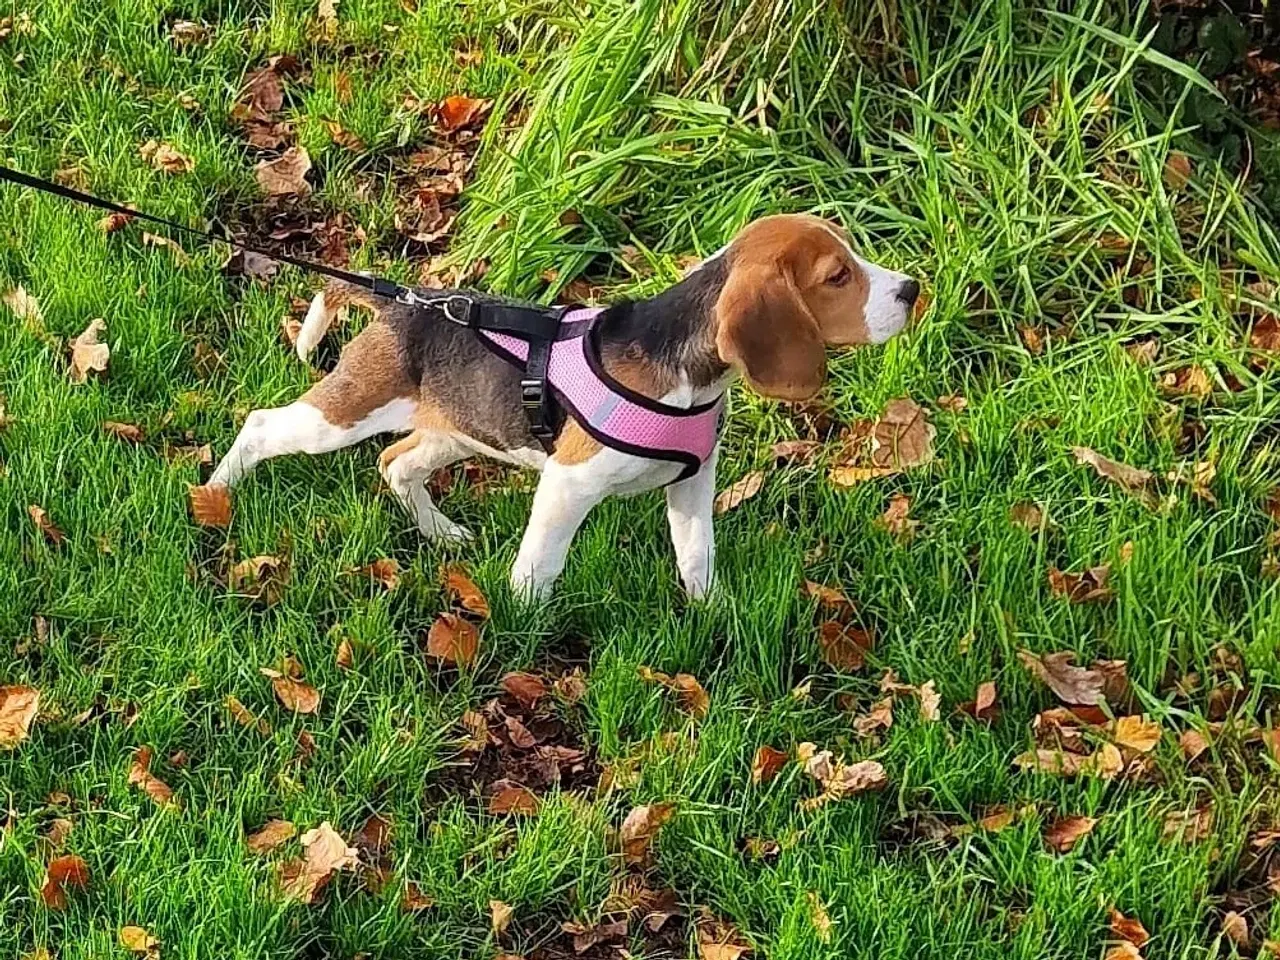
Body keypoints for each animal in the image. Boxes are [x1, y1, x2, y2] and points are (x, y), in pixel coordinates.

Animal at [207, 213, 921, 599]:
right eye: (837, 277)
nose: (914, 288)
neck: (687, 374)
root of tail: (401, 302)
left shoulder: (693, 486)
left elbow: (696, 555)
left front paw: (712, 608)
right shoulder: (569, 483)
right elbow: (541, 564)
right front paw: (523, 620)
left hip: (457, 429)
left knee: (397, 464)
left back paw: (441, 532)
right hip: (344, 412)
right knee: (263, 425)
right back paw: (215, 493)